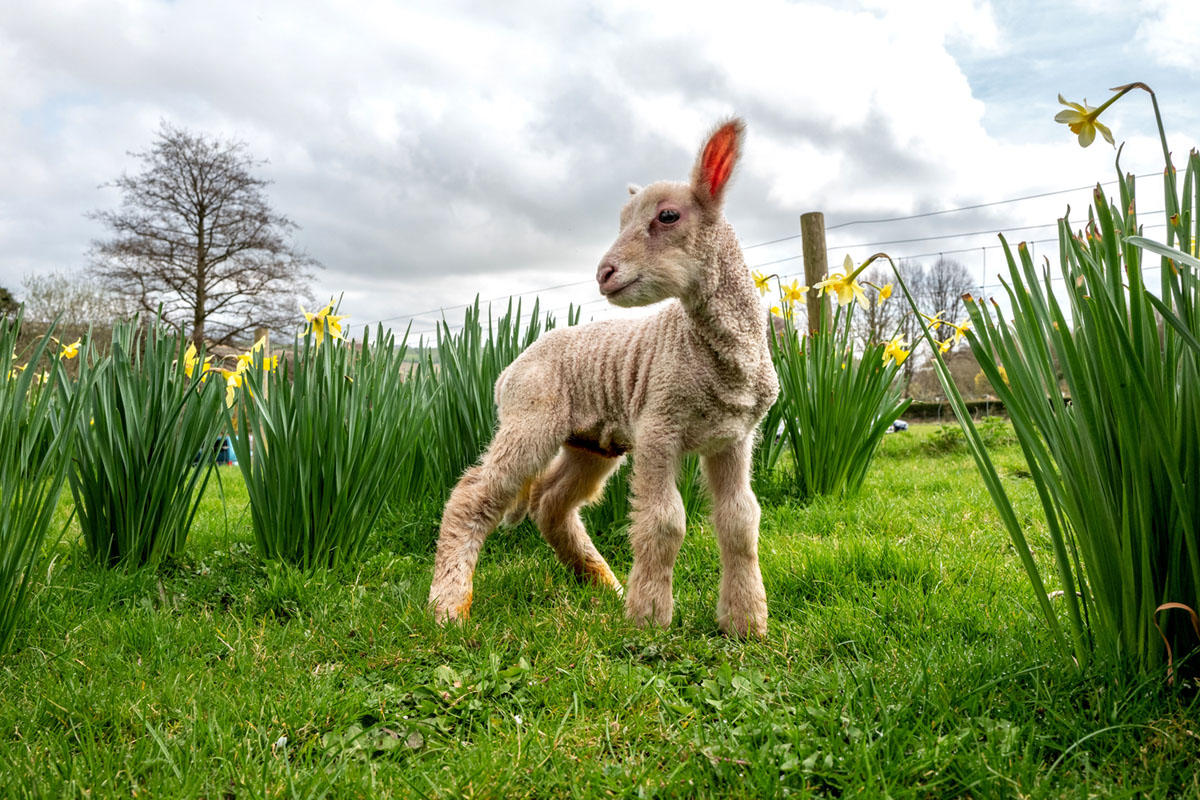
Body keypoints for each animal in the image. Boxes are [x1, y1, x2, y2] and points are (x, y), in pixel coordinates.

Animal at [429, 117, 777, 638]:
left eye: (668, 216)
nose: (604, 273)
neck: (715, 355)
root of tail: (508, 369)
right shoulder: (659, 426)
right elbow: (664, 521)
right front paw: (649, 618)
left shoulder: (733, 437)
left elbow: (740, 523)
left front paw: (747, 624)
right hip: (531, 417)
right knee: (475, 496)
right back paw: (449, 607)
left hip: (590, 442)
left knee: (550, 503)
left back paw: (602, 583)